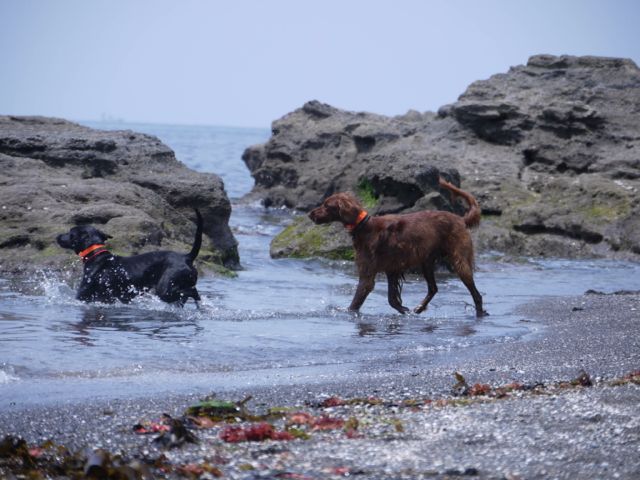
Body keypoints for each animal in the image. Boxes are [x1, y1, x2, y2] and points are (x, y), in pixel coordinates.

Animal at [58, 211, 202, 308]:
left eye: (70, 233)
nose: (58, 236)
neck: (96, 254)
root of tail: (186, 257)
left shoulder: (83, 297)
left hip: (165, 290)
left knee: (191, 292)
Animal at [310, 178, 484, 316]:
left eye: (326, 205)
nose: (310, 214)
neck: (364, 226)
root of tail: (461, 220)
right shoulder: (392, 270)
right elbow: (391, 299)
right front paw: (404, 310)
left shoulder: (368, 274)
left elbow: (356, 303)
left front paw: (347, 313)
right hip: (426, 262)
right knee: (433, 288)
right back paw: (419, 309)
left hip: (459, 261)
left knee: (476, 294)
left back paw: (480, 313)